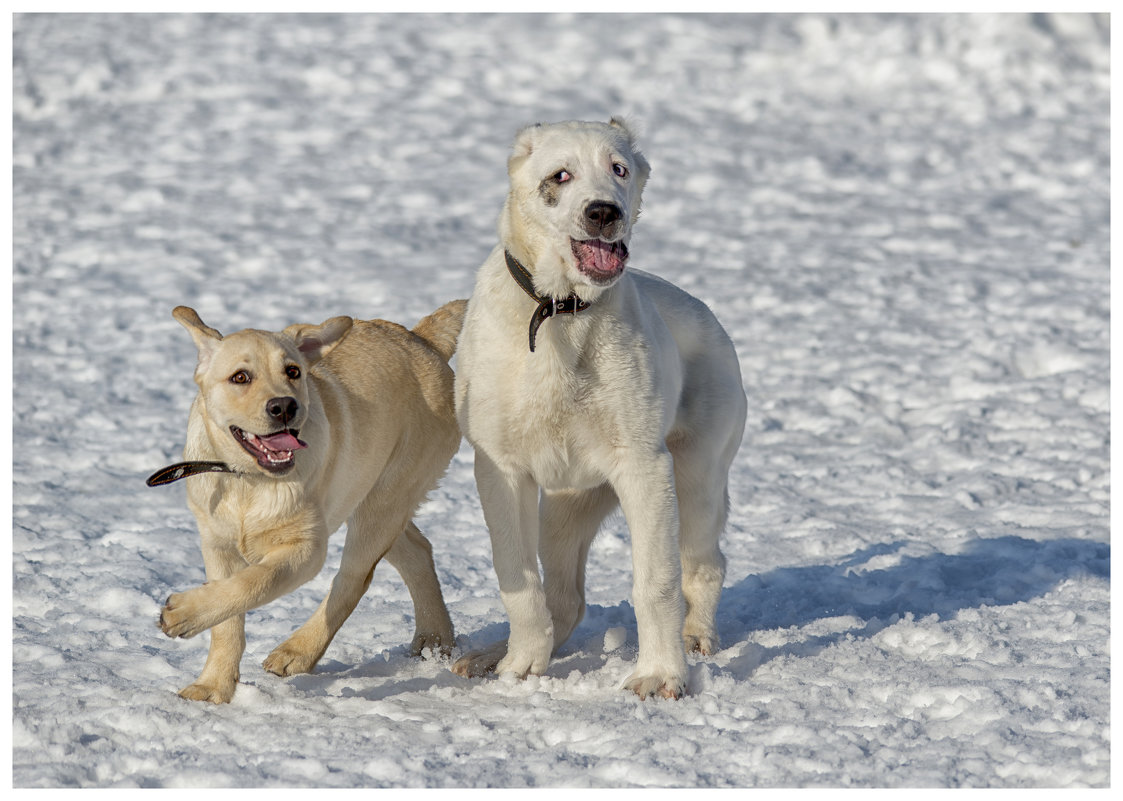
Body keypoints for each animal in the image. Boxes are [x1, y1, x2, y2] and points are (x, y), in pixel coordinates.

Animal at [154, 298, 464, 701]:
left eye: (293, 371)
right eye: (240, 377)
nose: (284, 406)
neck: (250, 482)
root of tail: (423, 341)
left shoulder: (305, 548)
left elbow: (252, 583)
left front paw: (181, 613)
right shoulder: (216, 543)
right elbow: (227, 620)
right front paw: (212, 687)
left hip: (385, 497)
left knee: (354, 578)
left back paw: (297, 651)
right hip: (368, 495)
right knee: (417, 549)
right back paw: (434, 639)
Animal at [451, 118, 750, 701]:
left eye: (620, 169)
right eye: (560, 175)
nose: (603, 212)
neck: (561, 312)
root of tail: (707, 314)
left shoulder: (644, 468)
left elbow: (656, 581)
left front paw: (660, 674)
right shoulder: (501, 471)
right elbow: (517, 577)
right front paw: (520, 665)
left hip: (696, 480)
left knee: (704, 565)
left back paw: (696, 636)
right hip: (564, 508)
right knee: (564, 599)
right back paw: (493, 654)